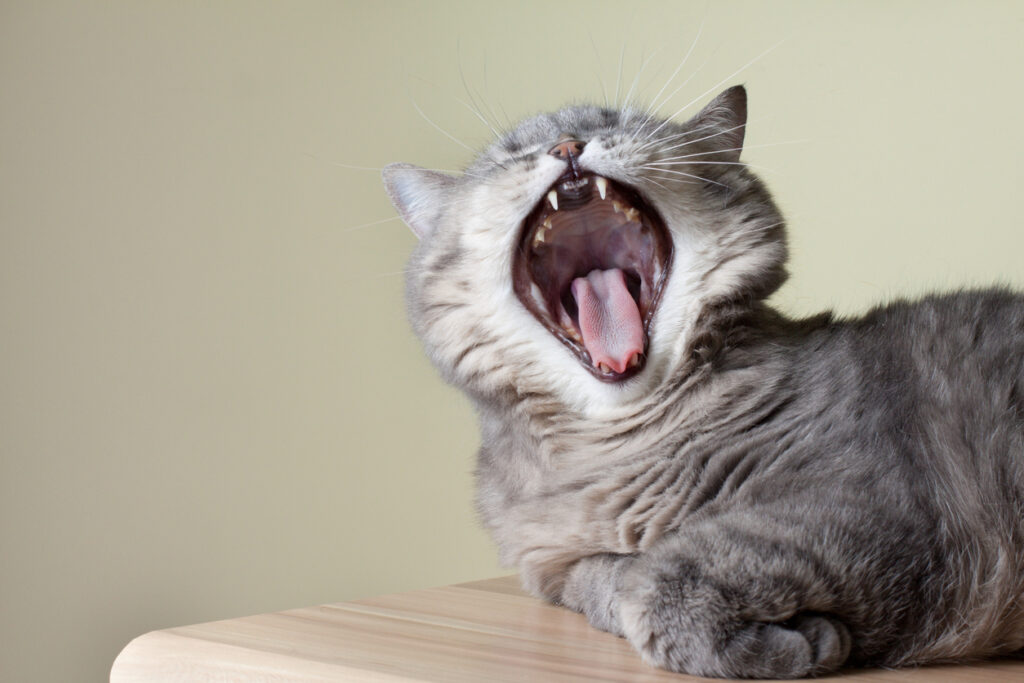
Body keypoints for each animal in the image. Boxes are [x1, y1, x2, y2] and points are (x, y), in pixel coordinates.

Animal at [382, 87, 1024, 679]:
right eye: (510, 155)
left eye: (617, 123)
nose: (567, 147)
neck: (619, 447)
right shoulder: (553, 565)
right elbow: (603, 582)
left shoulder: (864, 504)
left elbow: (667, 583)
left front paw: (802, 644)